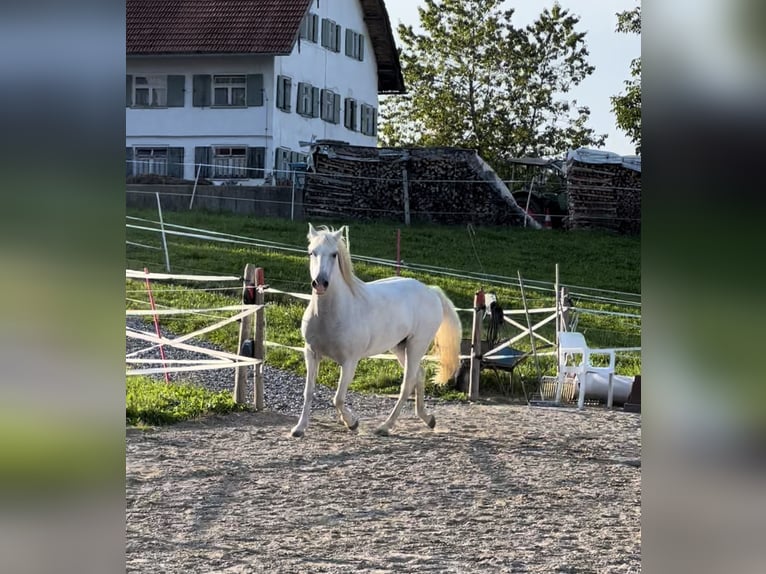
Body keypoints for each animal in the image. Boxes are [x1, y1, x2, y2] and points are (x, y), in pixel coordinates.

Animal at [292, 226, 462, 440]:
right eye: (311, 252)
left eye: (334, 254)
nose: (320, 283)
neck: (331, 313)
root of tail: (431, 291)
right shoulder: (311, 354)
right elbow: (308, 392)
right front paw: (299, 428)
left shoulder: (349, 362)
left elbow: (338, 398)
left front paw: (353, 423)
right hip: (399, 347)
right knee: (419, 375)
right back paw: (428, 419)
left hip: (416, 345)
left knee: (407, 384)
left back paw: (385, 426)